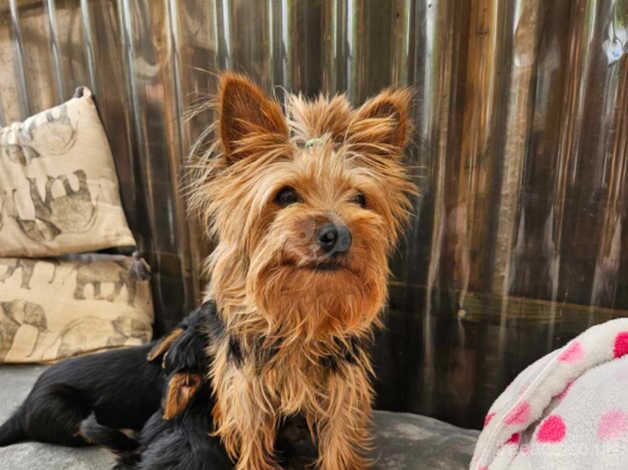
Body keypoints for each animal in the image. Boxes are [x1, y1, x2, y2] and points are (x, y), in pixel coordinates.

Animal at [190, 73, 418, 470]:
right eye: (285, 196)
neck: (302, 314)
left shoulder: (344, 391)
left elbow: (339, 443)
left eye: (360, 199)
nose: (338, 234)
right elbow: (252, 445)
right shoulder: (246, 394)